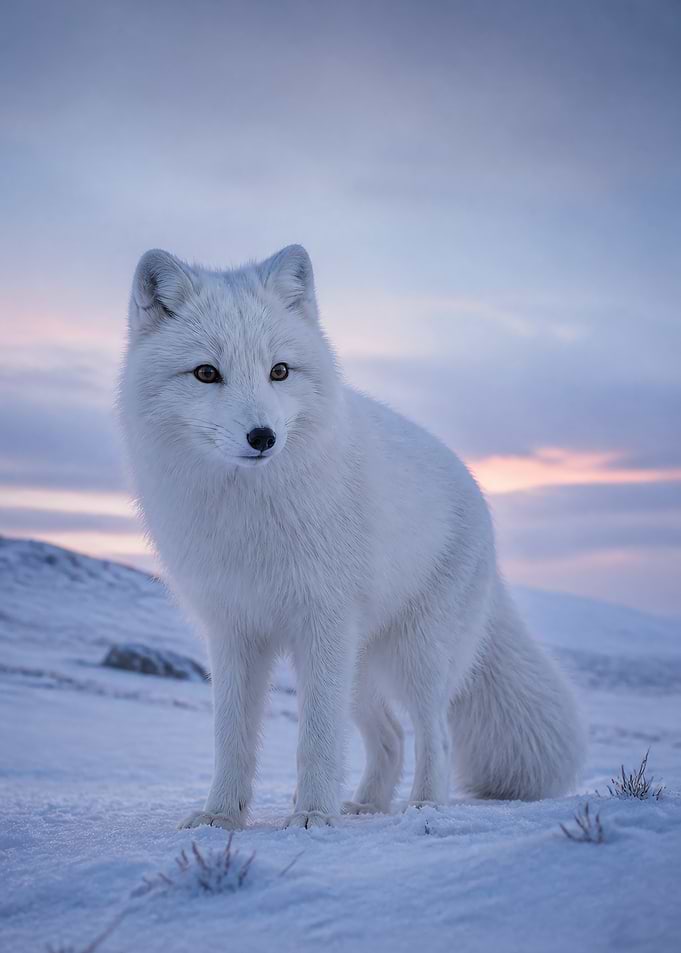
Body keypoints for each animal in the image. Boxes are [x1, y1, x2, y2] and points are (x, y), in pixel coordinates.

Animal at [119, 244, 585, 830]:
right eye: (206, 373)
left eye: (279, 371)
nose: (262, 437)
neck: (248, 516)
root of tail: (474, 487)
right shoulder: (233, 631)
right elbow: (233, 739)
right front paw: (222, 816)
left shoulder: (323, 620)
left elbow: (318, 738)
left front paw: (313, 817)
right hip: (360, 668)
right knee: (390, 737)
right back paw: (366, 806)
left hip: (414, 655)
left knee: (434, 733)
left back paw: (424, 804)